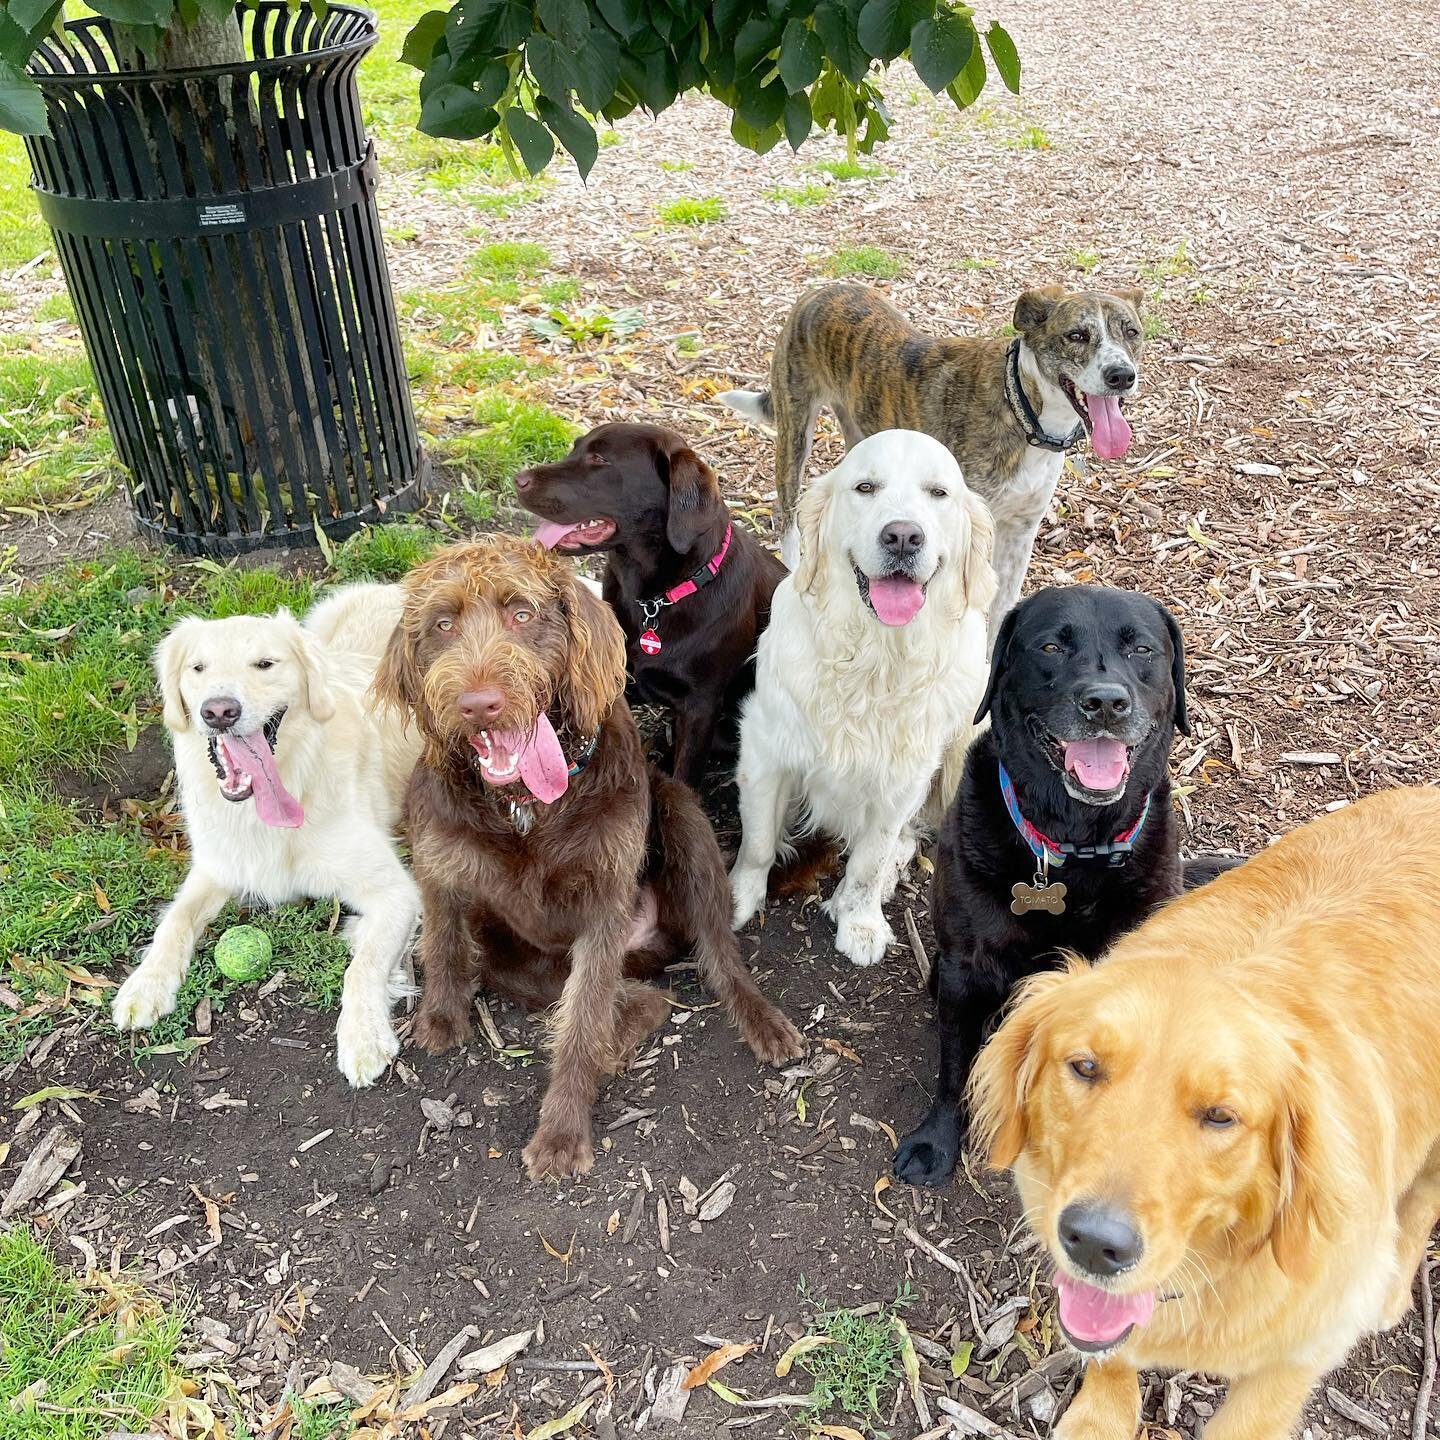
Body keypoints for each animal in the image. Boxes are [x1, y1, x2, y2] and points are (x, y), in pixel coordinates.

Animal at [377, 535, 806, 1175]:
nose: (478, 704)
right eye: (443, 624)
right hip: (522, 957)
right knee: (625, 995)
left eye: (522, 613)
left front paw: (561, 1131)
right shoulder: (439, 861)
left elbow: (581, 1025)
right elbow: (444, 941)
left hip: (681, 818)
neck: (525, 806)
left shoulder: (604, 905)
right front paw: (442, 1015)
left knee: (715, 960)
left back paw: (758, 1020)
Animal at [720, 282, 1146, 642]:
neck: (1021, 406)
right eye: (1076, 335)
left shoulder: (1020, 532)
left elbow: (1001, 611)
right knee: (784, 512)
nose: (1121, 375)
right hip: (795, 430)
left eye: (1132, 333)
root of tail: (818, 291)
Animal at [961, 789, 1440, 1440]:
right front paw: (1101, 1415)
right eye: (1084, 1067)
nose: (1095, 1244)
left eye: (1220, 1116)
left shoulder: (1298, 1355)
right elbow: (1114, 1351)